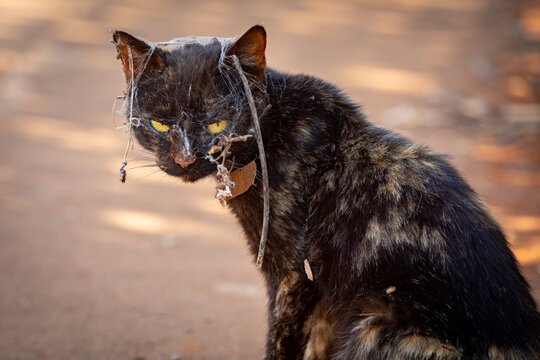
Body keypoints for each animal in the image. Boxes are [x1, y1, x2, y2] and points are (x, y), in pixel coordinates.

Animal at [110, 26, 540, 360]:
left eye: (218, 124)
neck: (274, 128)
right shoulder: (320, 296)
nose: (185, 160)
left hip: (375, 319)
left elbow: (281, 345)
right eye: (160, 124)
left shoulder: (294, 275)